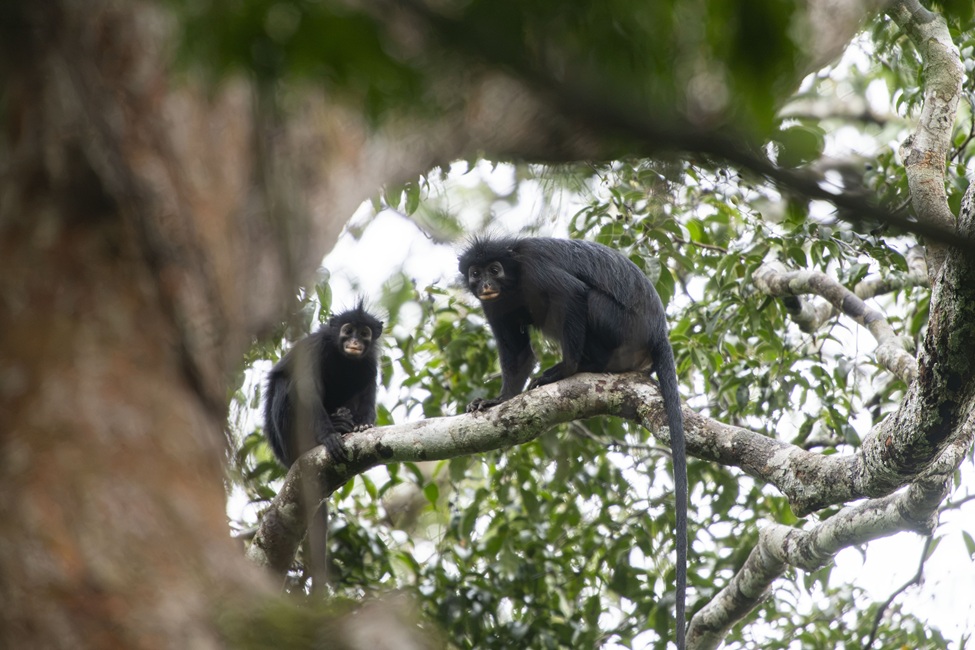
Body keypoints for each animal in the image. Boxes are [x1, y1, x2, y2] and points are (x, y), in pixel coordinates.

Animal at [264, 302, 383, 466]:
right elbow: (307, 388)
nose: (354, 342)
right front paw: (328, 436)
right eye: (348, 331)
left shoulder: (370, 361)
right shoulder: (316, 346)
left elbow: (367, 391)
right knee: (284, 383)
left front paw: (363, 424)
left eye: (364, 333)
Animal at [459, 236, 688, 649]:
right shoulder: (495, 305)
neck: (513, 280)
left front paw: (564, 370)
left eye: (495, 269)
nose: (485, 283)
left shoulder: (534, 270)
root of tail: (658, 331)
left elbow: (573, 294)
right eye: (475, 272)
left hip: (620, 327)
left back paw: (580, 367)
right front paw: (497, 401)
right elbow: (518, 354)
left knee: (588, 299)